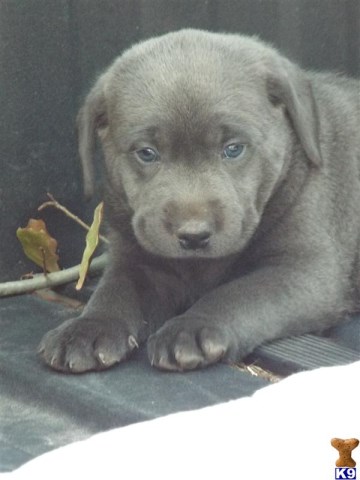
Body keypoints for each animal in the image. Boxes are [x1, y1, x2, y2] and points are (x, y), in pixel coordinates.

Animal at [38, 29, 358, 376]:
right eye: (147, 153)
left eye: (233, 149)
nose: (193, 236)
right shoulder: (136, 258)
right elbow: (115, 289)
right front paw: (88, 327)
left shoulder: (306, 269)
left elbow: (241, 292)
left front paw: (192, 327)